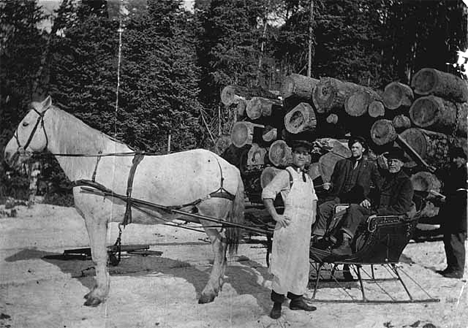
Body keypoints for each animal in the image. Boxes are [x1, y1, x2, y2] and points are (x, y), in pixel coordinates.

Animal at [4, 96, 245, 306]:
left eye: (25, 123)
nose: (7, 154)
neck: (94, 161)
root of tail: (227, 165)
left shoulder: (95, 220)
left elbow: (97, 255)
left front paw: (98, 294)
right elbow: (101, 254)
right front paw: (99, 290)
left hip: (210, 220)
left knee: (219, 250)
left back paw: (209, 291)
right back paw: (217, 286)